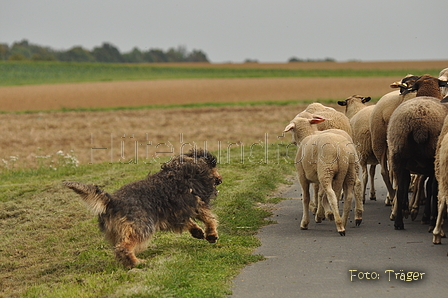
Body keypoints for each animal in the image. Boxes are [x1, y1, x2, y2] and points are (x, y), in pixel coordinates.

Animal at [63, 149, 222, 268]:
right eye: (214, 165)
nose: (220, 179)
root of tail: (112, 201)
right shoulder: (195, 204)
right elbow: (209, 218)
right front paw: (212, 234)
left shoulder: (173, 212)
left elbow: (187, 221)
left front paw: (197, 231)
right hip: (140, 227)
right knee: (123, 247)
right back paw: (136, 263)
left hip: (118, 231)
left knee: (118, 248)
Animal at [384, 74, 448, 230]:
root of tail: (420, 124)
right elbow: (429, 188)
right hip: (432, 158)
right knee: (432, 188)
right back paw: (430, 220)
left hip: (398, 155)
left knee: (400, 188)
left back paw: (398, 223)